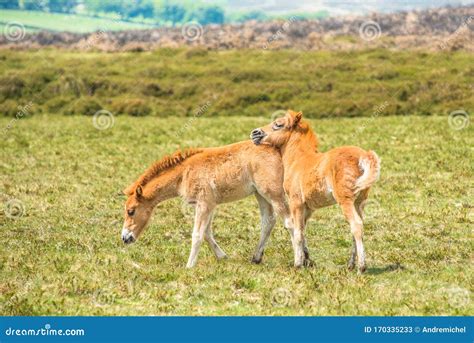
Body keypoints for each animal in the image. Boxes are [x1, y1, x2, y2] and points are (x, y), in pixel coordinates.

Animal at [121, 142, 292, 268]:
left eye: (131, 211)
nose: (125, 238)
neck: (183, 174)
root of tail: (278, 150)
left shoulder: (204, 203)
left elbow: (197, 234)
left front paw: (189, 266)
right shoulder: (206, 205)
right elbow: (207, 233)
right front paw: (222, 257)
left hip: (273, 193)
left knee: (290, 222)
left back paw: (298, 261)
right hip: (260, 194)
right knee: (268, 221)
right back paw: (256, 258)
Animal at [252, 111, 382, 272]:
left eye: (278, 124)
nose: (255, 133)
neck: (298, 160)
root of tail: (363, 155)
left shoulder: (296, 201)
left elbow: (297, 232)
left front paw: (298, 264)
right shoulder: (308, 207)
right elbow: (302, 231)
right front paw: (306, 260)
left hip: (345, 200)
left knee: (356, 225)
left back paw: (361, 267)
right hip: (359, 201)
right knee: (358, 227)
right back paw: (351, 264)